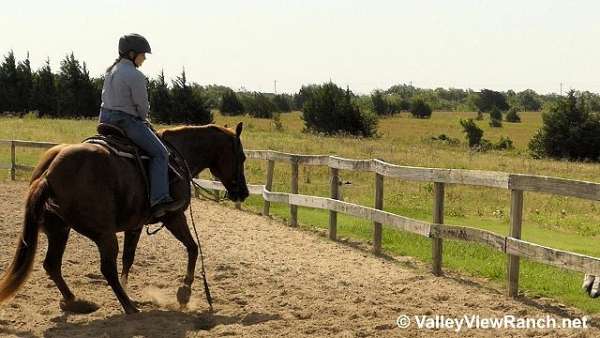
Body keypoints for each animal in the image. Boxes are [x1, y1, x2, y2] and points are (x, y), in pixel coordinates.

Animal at [0, 122, 248, 314]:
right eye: (242, 156)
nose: (244, 193)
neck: (178, 156)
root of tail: (49, 172)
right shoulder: (174, 217)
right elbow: (193, 248)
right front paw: (184, 293)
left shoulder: (135, 225)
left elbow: (129, 258)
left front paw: (130, 287)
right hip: (103, 234)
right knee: (106, 268)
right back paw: (128, 306)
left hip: (59, 230)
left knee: (52, 265)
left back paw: (76, 301)